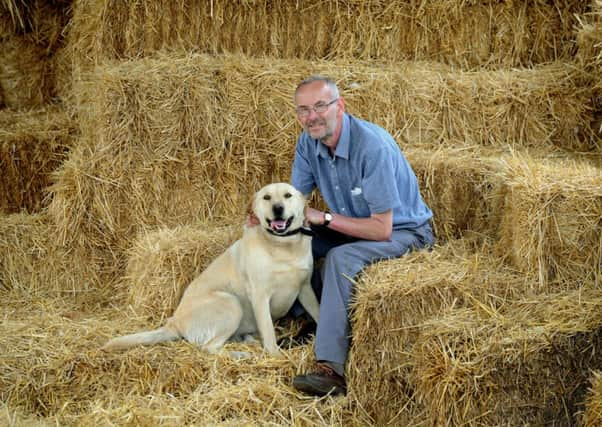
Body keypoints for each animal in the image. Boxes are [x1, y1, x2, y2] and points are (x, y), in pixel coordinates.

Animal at [102, 182, 318, 356]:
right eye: (267, 197)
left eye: (288, 195)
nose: (278, 208)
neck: (283, 246)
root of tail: (174, 322)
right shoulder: (260, 295)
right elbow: (269, 332)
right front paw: (275, 356)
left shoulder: (306, 287)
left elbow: (317, 311)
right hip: (230, 303)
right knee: (209, 347)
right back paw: (241, 354)